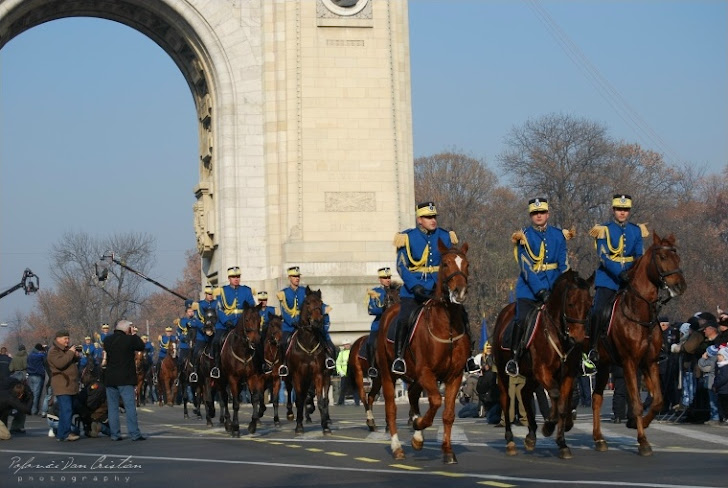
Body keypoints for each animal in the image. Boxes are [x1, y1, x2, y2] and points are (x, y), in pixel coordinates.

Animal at [219, 304, 264, 436]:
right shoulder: (232, 378)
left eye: (259, 320)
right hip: (221, 380)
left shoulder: (252, 377)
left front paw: (253, 425)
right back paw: (228, 423)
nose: (255, 341)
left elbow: (255, 398)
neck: (243, 351)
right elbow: (235, 403)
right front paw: (235, 427)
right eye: (247, 319)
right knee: (224, 398)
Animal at [288, 286, 332, 434]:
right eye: (307, 303)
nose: (318, 321)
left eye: (320, 303)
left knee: (323, 398)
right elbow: (299, 400)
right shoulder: (297, 375)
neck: (307, 344)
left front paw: (325, 426)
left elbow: (320, 400)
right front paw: (299, 426)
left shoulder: (318, 374)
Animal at [376, 242, 472, 464]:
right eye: (445, 264)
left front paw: (447, 451)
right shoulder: (426, 372)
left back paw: (417, 437)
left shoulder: (454, 376)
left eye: (467, 264)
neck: (447, 326)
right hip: (388, 373)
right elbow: (436, 400)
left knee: (412, 394)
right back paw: (397, 447)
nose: (460, 292)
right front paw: (419, 424)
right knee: (391, 408)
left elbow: (448, 414)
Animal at [490, 268, 596, 460]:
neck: (557, 333)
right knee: (506, 400)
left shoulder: (568, 374)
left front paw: (562, 441)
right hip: (503, 372)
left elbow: (564, 403)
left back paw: (531, 435)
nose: (578, 339)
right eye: (570, 303)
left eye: (590, 304)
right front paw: (549, 424)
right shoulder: (542, 370)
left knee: (524, 393)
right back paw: (510, 440)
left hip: (531, 376)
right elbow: (554, 394)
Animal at [588, 231, 684, 456]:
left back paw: (599, 438)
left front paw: (636, 424)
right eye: (662, 257)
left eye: (677, 256)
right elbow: (637, 404)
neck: (640, 313)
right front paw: (643, 441)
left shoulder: (650, 363)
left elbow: (657, 400)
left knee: (597, 398)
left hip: (604, 366)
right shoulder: (629, 363)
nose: (680, 286)